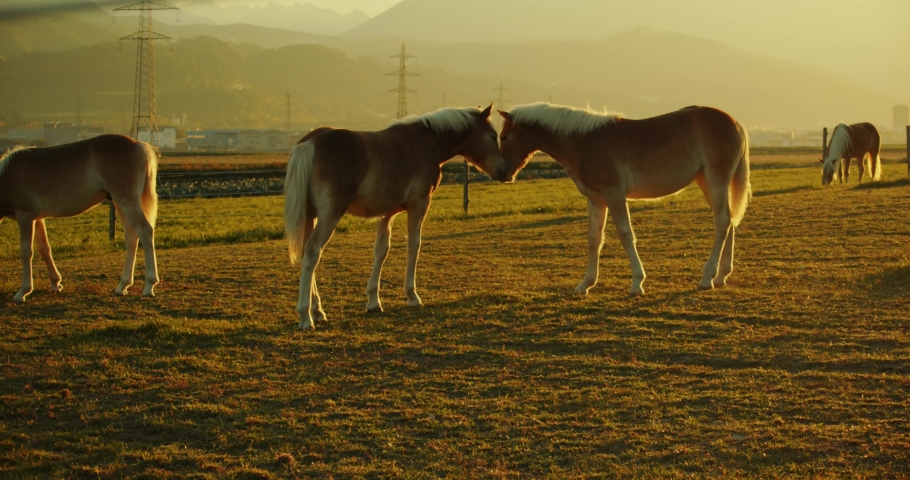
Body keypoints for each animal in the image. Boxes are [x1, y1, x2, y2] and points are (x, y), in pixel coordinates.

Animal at [0, 134, 160, 302]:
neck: (7, 176)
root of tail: (138, 144)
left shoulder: (24, 216)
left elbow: (26, 252)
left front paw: (23, 291)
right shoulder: (37, 219)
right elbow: (44, 249)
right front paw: (55, 283)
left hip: (127, 201)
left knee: (145, 232)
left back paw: (149, 285)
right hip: (120, 203)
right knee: (131, 237)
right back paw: (122, 286)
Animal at [284, 105, 507, 330]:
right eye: (493, 135)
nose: (504, 171)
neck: (426, 143)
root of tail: (310, 143)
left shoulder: (386, 213)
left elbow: (381, 250)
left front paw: (373, 301)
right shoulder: (419, 204)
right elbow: (413, 245)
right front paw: (412, 296)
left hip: (310, 215)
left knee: (306, 253)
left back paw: (317, 311)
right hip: (330, 214)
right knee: (313, 251)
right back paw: (305, 316)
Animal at [497, 103, 751, 295]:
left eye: (504, 136)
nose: (501, 174)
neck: (584, 143)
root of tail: (735, 123)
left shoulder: (615, 195)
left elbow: (626, 235)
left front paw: (637, 282)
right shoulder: (596, 200)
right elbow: (594, 239)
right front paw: (585, 284)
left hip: (716, 179)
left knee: (722, 222)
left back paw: (707, 277)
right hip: (705, 181)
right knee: (728, 220)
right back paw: (721, 276)